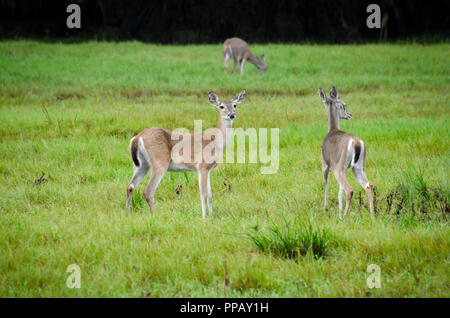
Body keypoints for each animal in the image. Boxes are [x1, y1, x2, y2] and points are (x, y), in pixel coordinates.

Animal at [125, 89, 246, 219]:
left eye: (235, 105)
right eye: (221, 106)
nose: (231, 115)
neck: (215, 141)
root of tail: (138, 137)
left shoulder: (208, 169)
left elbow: (210, 195)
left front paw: (211, 216)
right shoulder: (202, 166)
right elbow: (204, 194)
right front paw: (204, 217)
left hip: (141, 164)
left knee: (130, 186)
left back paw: (128, 215)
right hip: (159, 162)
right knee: (148, 191)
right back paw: (156, 215)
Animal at [316, 85, 376, 220]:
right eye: (344, 105)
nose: (349, 115)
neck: (332, 130)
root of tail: (356, 142)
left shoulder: (326, 165)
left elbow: (326, 184)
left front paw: (326, 207)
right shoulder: (344, 169)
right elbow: (339, 192)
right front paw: (338, 212)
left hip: (338, 168)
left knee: (349, 189)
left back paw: (343, 217)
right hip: (357, 168)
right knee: (368, 185)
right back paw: (372, 216)